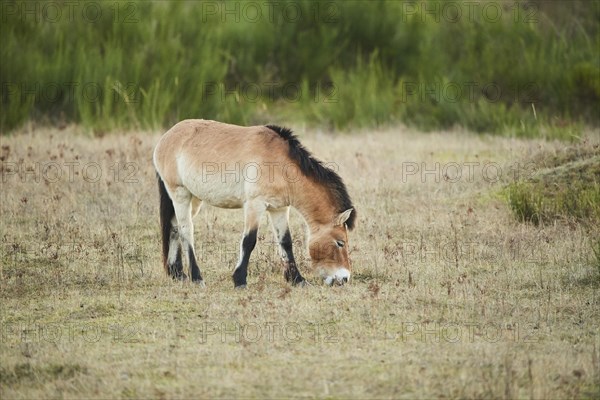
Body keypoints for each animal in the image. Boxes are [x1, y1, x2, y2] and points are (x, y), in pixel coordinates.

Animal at [152, 119, 354, 288]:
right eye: (340, 242)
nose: (344, 278)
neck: (280, 164)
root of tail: (165, 139)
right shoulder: (254, 205)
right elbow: (249, 241)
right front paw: (240, 280)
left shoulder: (279, 209)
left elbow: (285, 242)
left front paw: (297, 280)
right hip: (180, 195)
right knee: (186, 231)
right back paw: (196, 277)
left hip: (194, 199)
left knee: (174, 227)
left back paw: (177, 273)